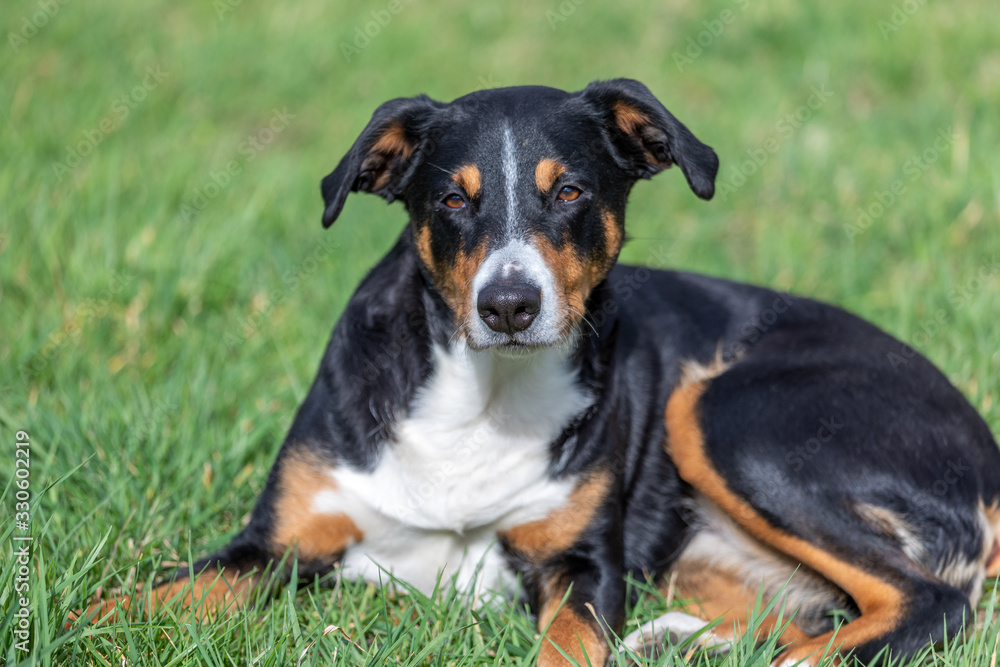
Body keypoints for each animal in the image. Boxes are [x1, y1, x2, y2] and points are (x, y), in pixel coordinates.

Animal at [80, 79, 1000, 667]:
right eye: (453, 199)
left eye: (571, 194)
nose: (509, 304)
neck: (483, 399)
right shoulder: (271, 546)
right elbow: (125, 602)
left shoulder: (581, 566)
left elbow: (568, 644)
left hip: (724, 413)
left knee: (929, 600)